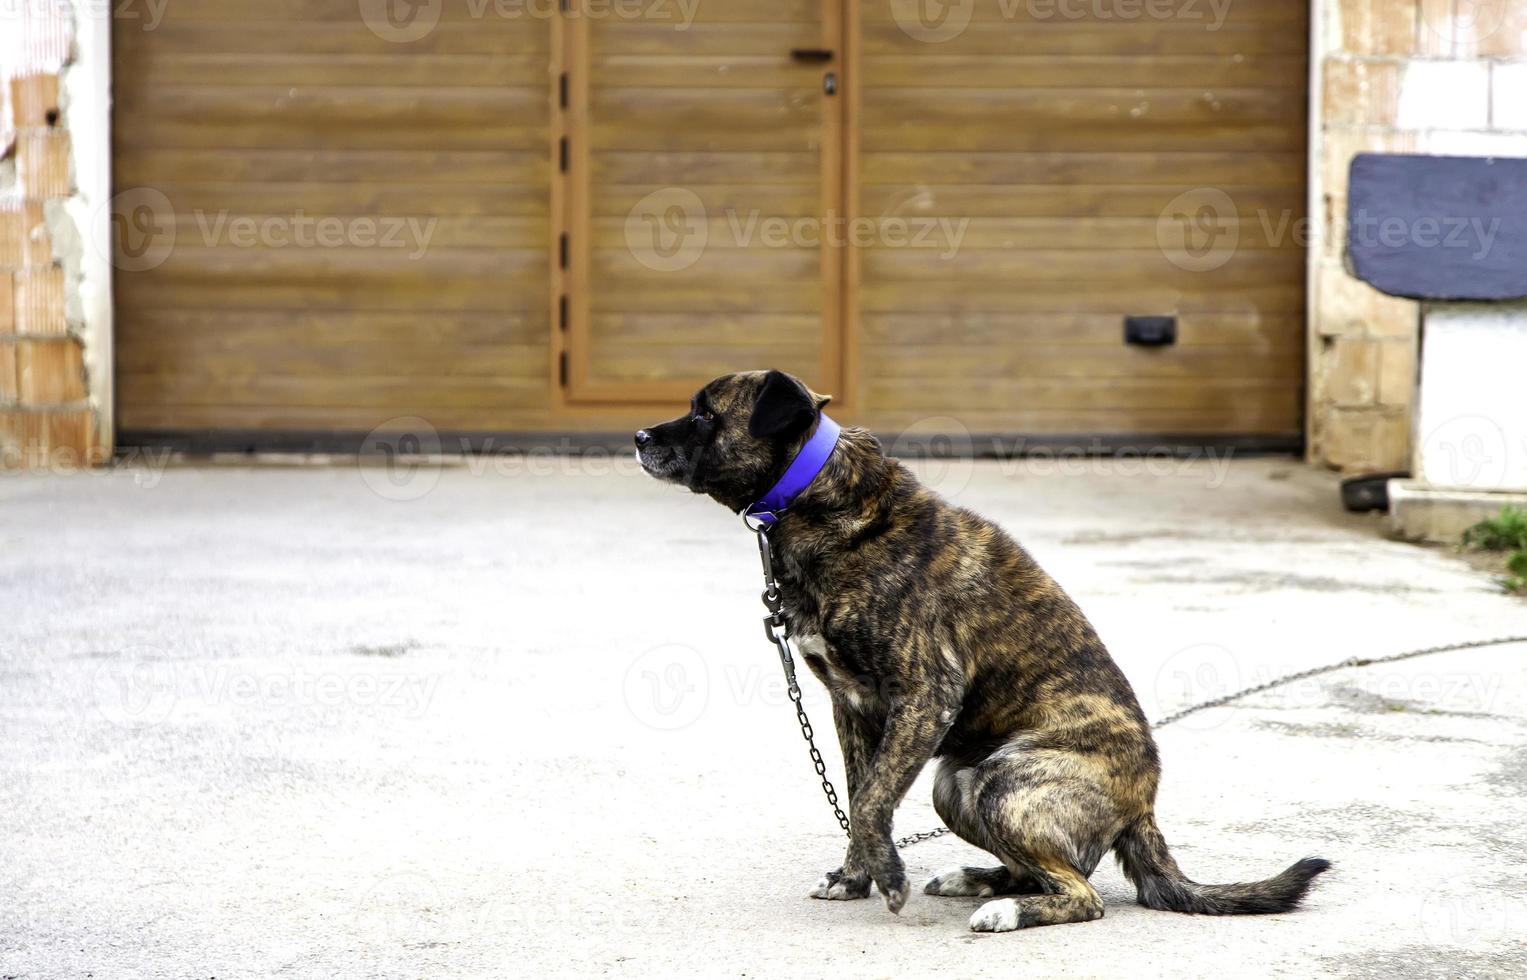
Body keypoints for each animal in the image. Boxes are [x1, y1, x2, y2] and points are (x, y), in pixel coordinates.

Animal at [632, 367, 1325, 928]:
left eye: (705, 413)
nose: (638, 436)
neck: (818, 498)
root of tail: (1143, 803)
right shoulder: (850, 707)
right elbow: (859, 795)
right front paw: (856, 878)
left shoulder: (924, 695)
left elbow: (872, 799)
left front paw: (887, 877)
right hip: (953, 784)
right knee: (1044, 871)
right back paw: (980, 880)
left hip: (1001, 783)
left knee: (1083, 894)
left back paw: (1007, 911)